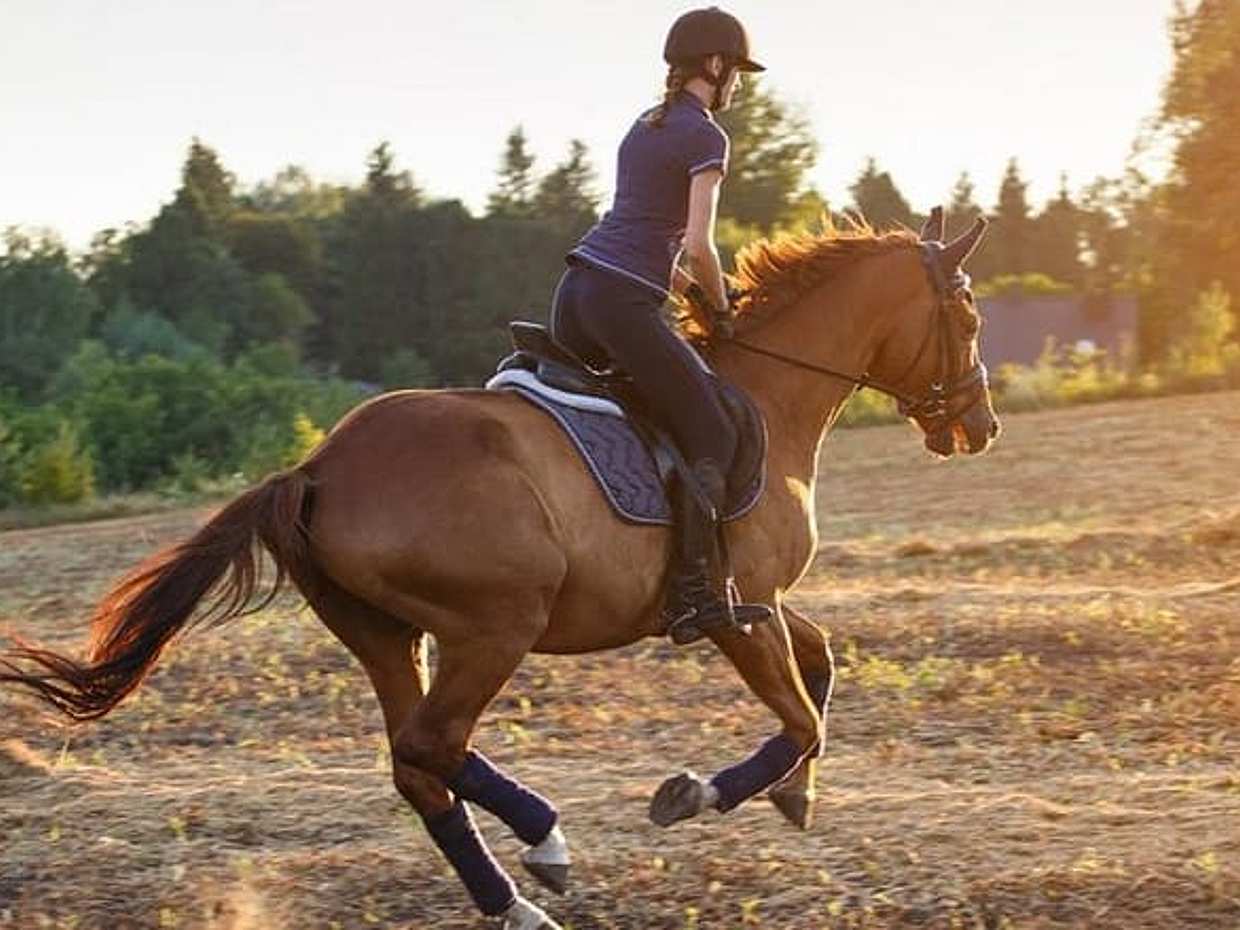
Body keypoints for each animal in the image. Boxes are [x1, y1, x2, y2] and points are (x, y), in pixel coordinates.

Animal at [1, 210, 996, 930]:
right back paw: (544, 841)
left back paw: (514, 898)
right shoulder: (734, 608)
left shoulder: (760, 605)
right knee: (432, 743)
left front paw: (794, 795)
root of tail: (316, 469)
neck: (768, 396)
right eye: (970, 314)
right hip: (495, 625)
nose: (979, 427)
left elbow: (820, 671)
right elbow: (802, 718)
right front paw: (698, 792)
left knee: (417, 762)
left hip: (391, 635)